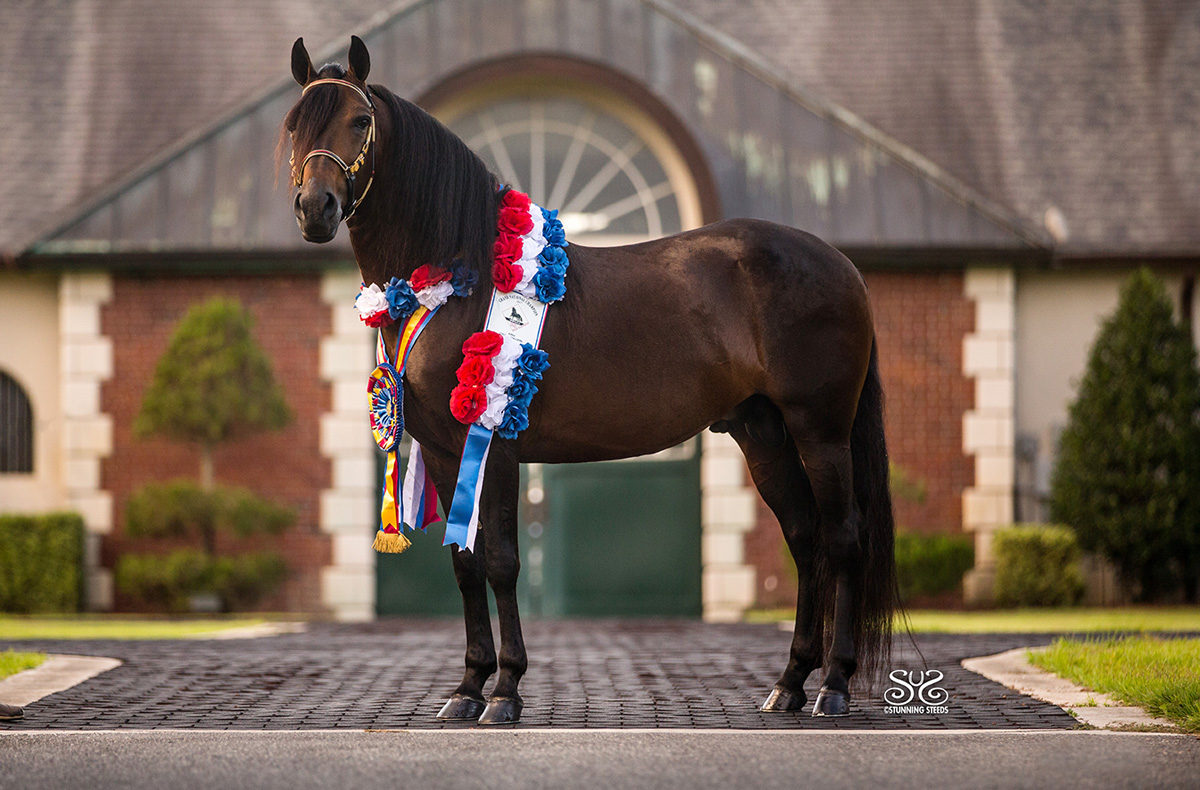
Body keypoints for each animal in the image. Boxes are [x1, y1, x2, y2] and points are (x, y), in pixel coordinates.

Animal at [285, 36, 897, 725]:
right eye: (294, 125)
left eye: (360, 122)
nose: (316, 210)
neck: (457, 278)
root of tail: (841, 264)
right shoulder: (444, 450)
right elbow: (465, 564)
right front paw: (467, 689)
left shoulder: (495, 447)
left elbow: (502, 562)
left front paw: (506, 690)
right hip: (764, 434)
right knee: (805, 538)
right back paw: (788, 683)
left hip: (821, 430)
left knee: (843, 539)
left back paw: (833, 686)